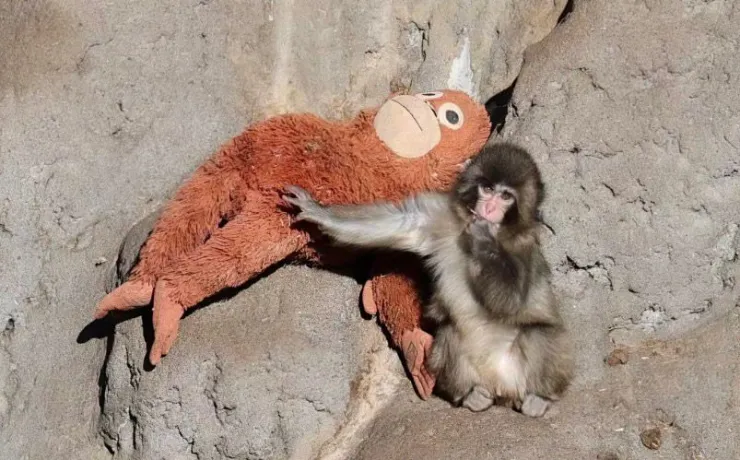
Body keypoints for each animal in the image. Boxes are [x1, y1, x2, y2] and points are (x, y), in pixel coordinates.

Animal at [281, 143, 573, 417]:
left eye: (505, 196)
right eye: (488, 188)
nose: (490, 208)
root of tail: (501, 387)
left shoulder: (525, 247)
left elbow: (512, 302)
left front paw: (484, 237)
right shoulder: (439, 215)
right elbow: (403, 223)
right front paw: (316, 209)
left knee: (538, 333)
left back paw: (539, 398)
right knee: (449, 331)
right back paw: (470, 396)